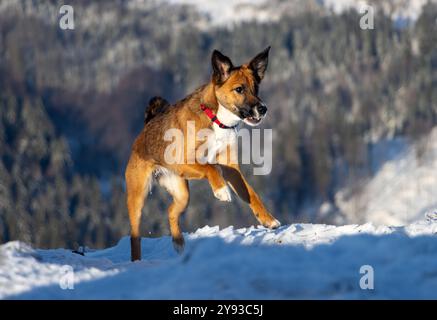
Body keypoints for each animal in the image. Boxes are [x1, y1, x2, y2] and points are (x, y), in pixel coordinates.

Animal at [123, 47, 280, 262]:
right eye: (239, 89)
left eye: (256, 88)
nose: (263, 109)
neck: (216, 119)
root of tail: (145, 129)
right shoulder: (184, 161)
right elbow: (211, 168)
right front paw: (221, 191)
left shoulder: (231, 169)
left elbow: (251, 194)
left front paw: (268, 220)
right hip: (137, 196)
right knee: (135, 234)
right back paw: (137, 260)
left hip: (182, 192)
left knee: (171, 211)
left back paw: (178, 242)